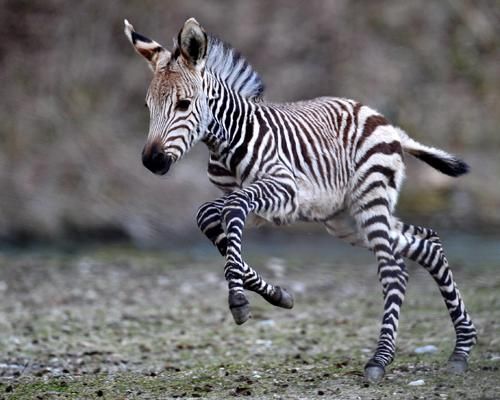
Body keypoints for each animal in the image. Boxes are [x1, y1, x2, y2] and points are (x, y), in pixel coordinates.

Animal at [125, 17, 476, 382]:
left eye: (183, 105)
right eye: (149, 108)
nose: (152, 161)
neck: (227, 141)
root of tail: (384, 121)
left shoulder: (284, 190)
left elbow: (230, 213)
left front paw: (239, 299)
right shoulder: (245, 200)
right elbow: (208, 216)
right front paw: (276, 294)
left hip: (370, 200)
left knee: (393, 268)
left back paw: (380, 359)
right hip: (347, 219)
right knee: (425, 244)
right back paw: (461, 349)